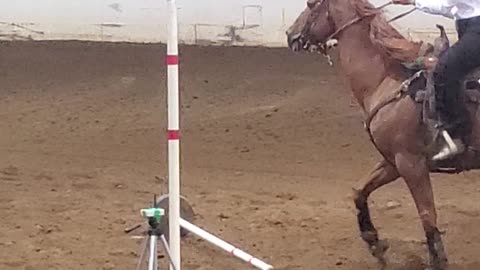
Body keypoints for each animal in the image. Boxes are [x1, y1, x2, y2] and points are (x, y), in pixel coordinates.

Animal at [284, 0, 480, 270]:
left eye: (311, 4)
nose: (290, 34)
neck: (386, 81)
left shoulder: (411, 163)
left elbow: (427, 216)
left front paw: (437, 261)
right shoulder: (392, 162)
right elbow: (359, 191)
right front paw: (374, 242)